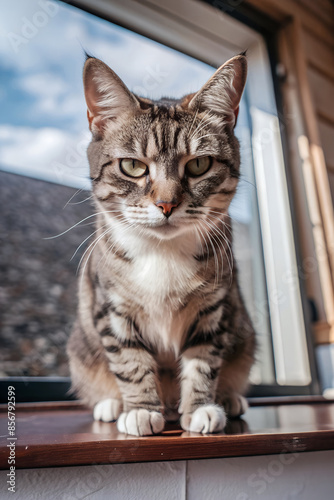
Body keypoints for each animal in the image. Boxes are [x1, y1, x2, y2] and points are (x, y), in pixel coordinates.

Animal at [67, 53, 256, 434]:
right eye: (132, 166)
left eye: (199, 164)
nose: (167, 204)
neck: (162, 252)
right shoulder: (112, 308)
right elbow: (129, 360)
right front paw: (140, 410)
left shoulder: (215, 306)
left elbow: (203, 359)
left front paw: (200, 408)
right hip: (82, 351)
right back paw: (113, 405)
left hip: (244, 337)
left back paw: (229, 399)